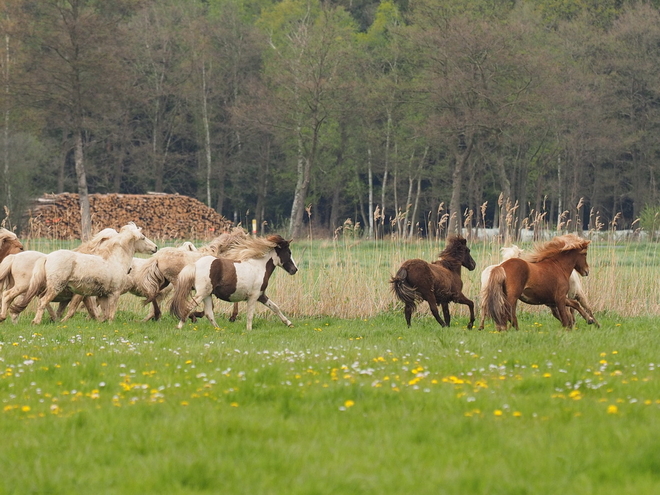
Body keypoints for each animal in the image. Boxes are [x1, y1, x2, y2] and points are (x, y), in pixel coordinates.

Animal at [10, 225, 158, 326]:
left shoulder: (102, 295)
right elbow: (110, 314)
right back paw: (36, 321)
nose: (155, 248)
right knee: (42, 302)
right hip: (54, 287)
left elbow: (101, 313)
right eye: (143, 237)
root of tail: (48, 257)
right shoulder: (114, 293)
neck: (114, 260)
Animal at [169, 234, 298, 332]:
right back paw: (179, 327)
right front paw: (249, 330)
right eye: (289, 252)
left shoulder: (261, 295)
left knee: (209, 313)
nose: (295, 270)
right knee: (189, 308)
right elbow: (250, 315)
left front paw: (289, 323)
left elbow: (275, 307)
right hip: (201, 294)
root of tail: (195, 264)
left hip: (207, 295)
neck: (259, 267)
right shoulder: (253, 296)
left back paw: (219, 330)